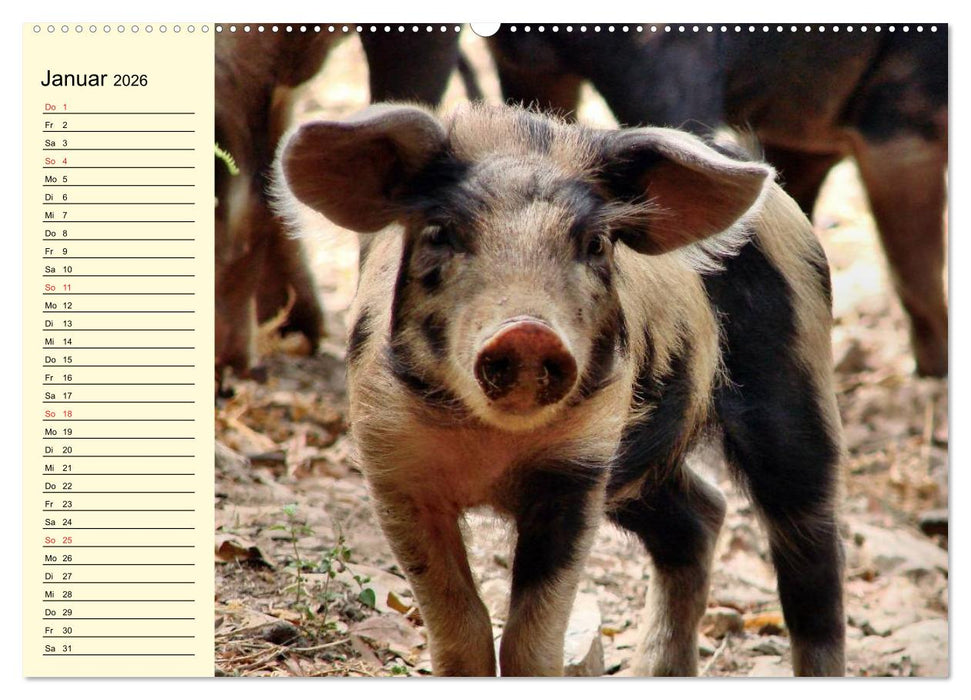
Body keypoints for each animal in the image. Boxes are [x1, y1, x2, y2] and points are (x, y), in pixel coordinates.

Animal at [278, 102, 845, 677]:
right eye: (440, 233)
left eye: (594, 244)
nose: (528, 330)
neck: (491, 449)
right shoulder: (393, 467)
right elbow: (461, 627)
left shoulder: (579, 467)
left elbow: (532, 639)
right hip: (641, 466)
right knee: (700, 517)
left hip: (796, 385)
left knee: (812, 559)